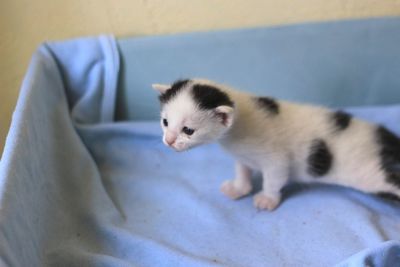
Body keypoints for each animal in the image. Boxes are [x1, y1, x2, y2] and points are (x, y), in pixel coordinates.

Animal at [152, 78, 400, 210]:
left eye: (188, 131)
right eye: (165, 122)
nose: (169, 140)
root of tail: (377, 134)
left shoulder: (276, 159)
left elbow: (274, 178)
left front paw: (267, 199)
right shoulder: (243, 156)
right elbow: (243, 171)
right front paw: (239, 188)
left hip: (366, 172)